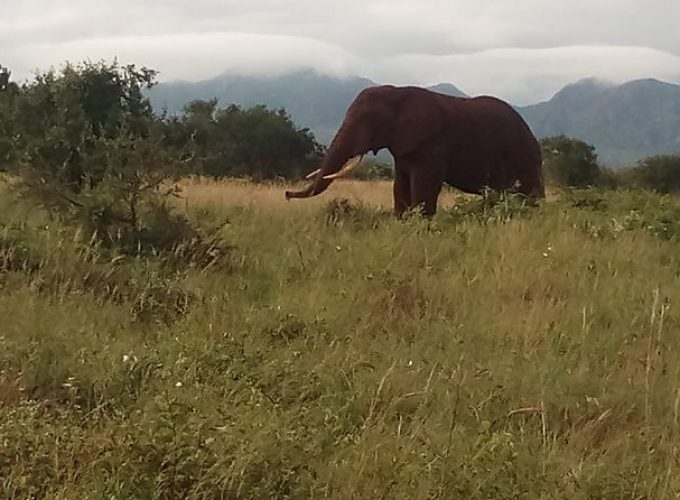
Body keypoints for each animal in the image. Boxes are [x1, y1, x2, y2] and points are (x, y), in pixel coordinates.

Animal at [284, 84, 544, 217]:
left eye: (370, 122)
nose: (286, 194)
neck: (397, 94)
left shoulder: (434, 144)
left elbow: (424, 185)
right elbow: (400, 184)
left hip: (523, 154)